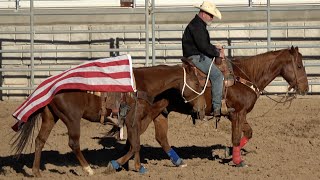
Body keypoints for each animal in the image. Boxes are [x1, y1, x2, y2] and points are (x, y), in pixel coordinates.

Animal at [11, 64, 205, 176]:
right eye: (197, 84)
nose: (201, 108)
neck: (142, 86)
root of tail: (52, 85)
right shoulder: (132, 119)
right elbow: (135, 144)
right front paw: (115, 165)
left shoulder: (136, 121)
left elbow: (135, 143)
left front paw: (137, 167)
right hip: (72, 118)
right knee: (73, 143)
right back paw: (88, 169)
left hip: (51, 117)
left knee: (40, 140)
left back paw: (36, 172)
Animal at [147, 46, 308, 167]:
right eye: (299, 66)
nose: (305, 88)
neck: (245, 76)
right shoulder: (237, 113)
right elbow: (236, 137)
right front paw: (238, 161)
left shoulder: (236, 114)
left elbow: (248, 133)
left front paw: (229, 153)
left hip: (161, 113)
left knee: (161, 137)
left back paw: (178, 161)